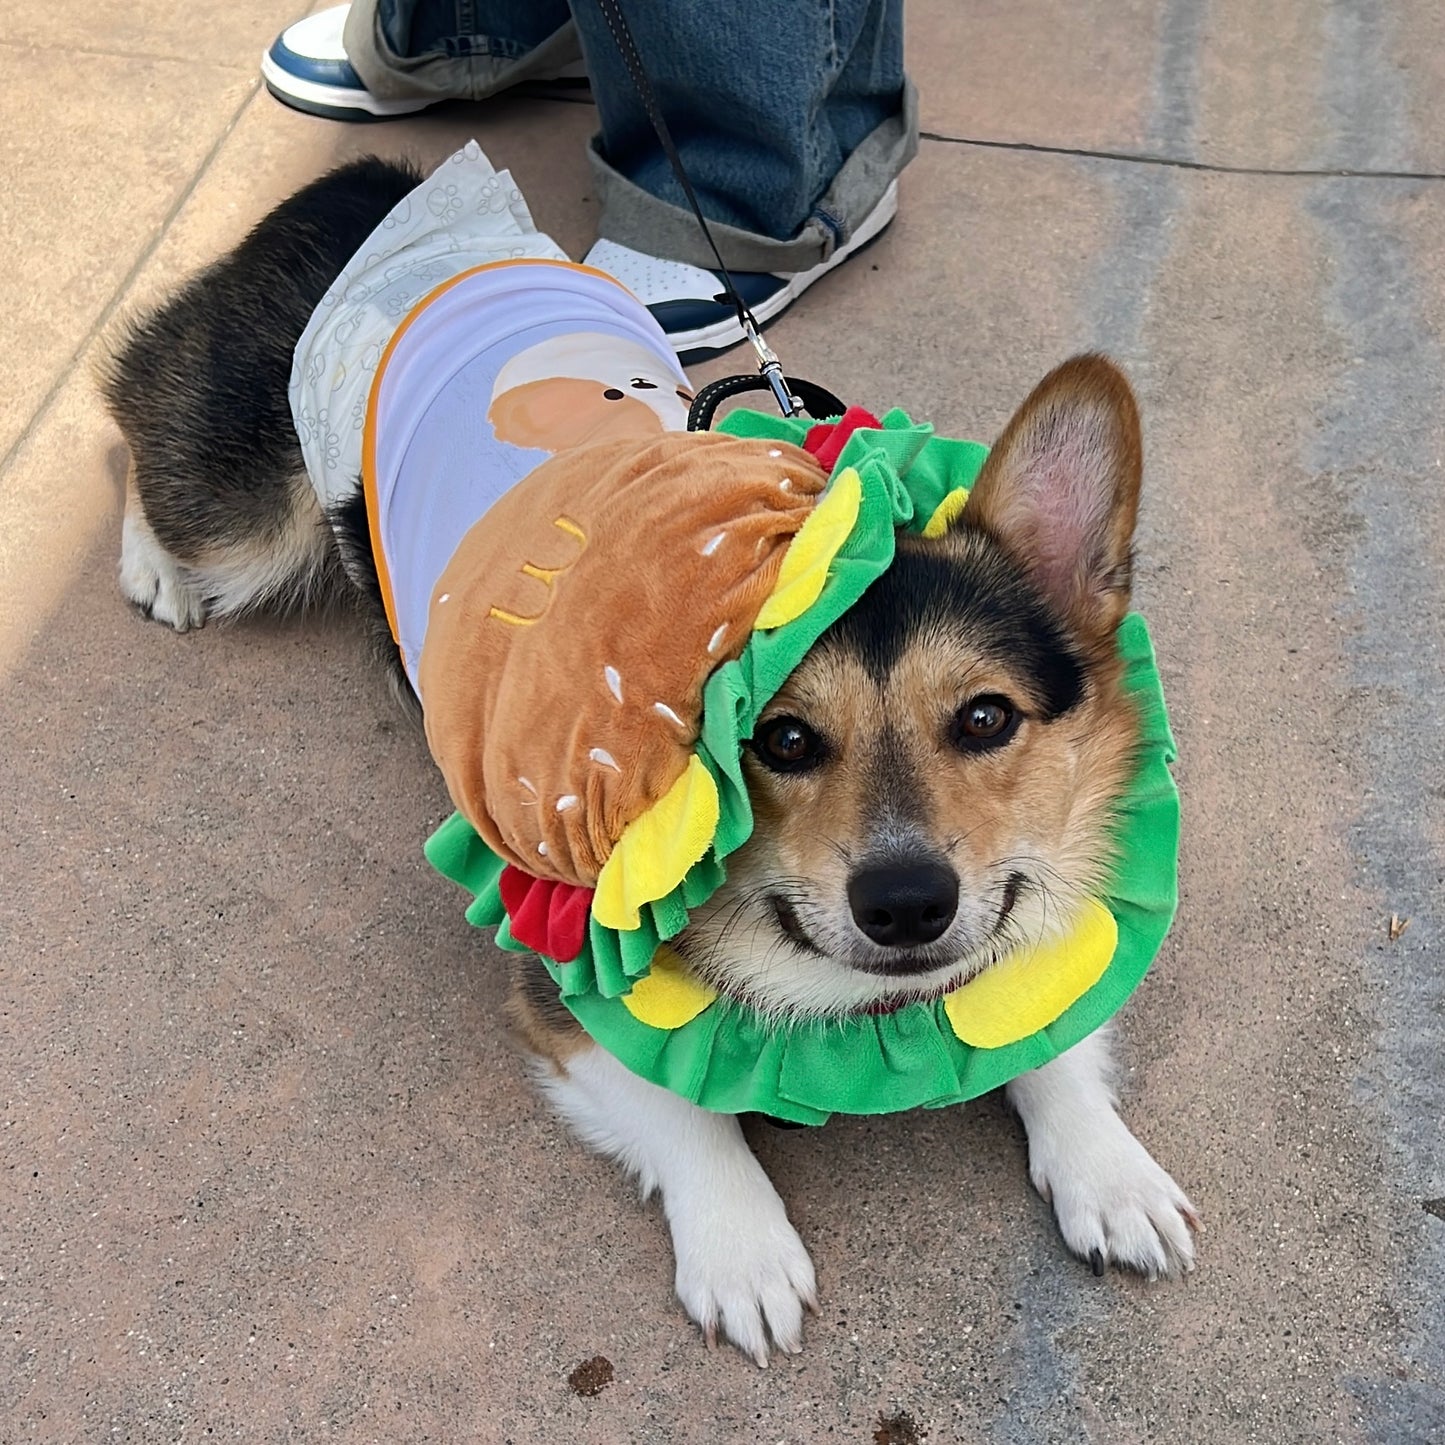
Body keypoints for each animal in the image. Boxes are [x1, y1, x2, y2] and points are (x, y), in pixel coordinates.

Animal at [101, 155, 1196, 1364]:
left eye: (987, 718)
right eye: (780, 738)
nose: (907, 902)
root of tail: (367, 183)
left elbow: (1053, 1033)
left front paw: (1109, 1172)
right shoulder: (565, 1004)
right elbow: (685, 1115)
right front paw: (741, 1251)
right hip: (245, 517)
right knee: (138, 440)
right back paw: (155, 572)